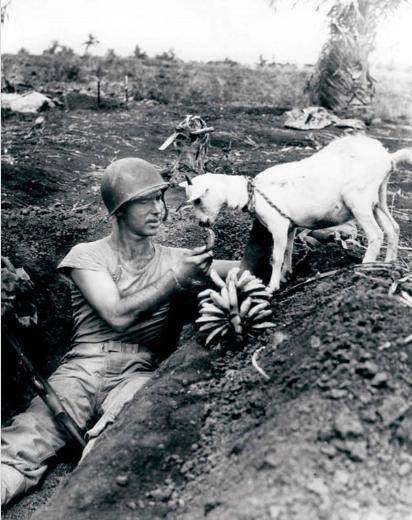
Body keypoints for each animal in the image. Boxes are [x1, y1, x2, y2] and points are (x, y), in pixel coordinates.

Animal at [180, 134, 412, 292]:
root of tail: (388, 157)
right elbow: (288, 251)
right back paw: (387, 265)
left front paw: (272, 286)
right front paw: (286, 275)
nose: (202, 224)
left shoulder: (278, 225)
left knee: (376, 234)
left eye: (198, 200)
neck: (251, 193)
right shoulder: (290, 226)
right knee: (393, 228)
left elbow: (276, 256)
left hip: (359, 199)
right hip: (378, 199)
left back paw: (364, 268)